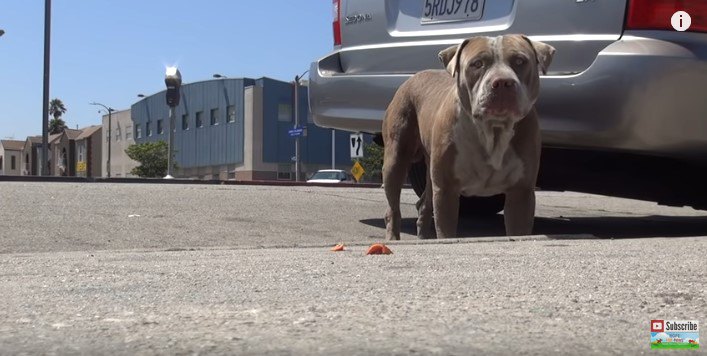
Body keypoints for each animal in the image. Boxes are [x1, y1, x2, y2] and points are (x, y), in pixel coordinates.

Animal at [384, 34, 556, 239]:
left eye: (520, 61)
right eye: (477, 64)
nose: (503, 82)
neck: (493, 130)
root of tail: (413, 77)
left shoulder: (521, 192)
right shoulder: (447, 190)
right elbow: (446, 231)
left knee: (424, 204)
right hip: (396, 157)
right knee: (393, 208)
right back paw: (393, 237)